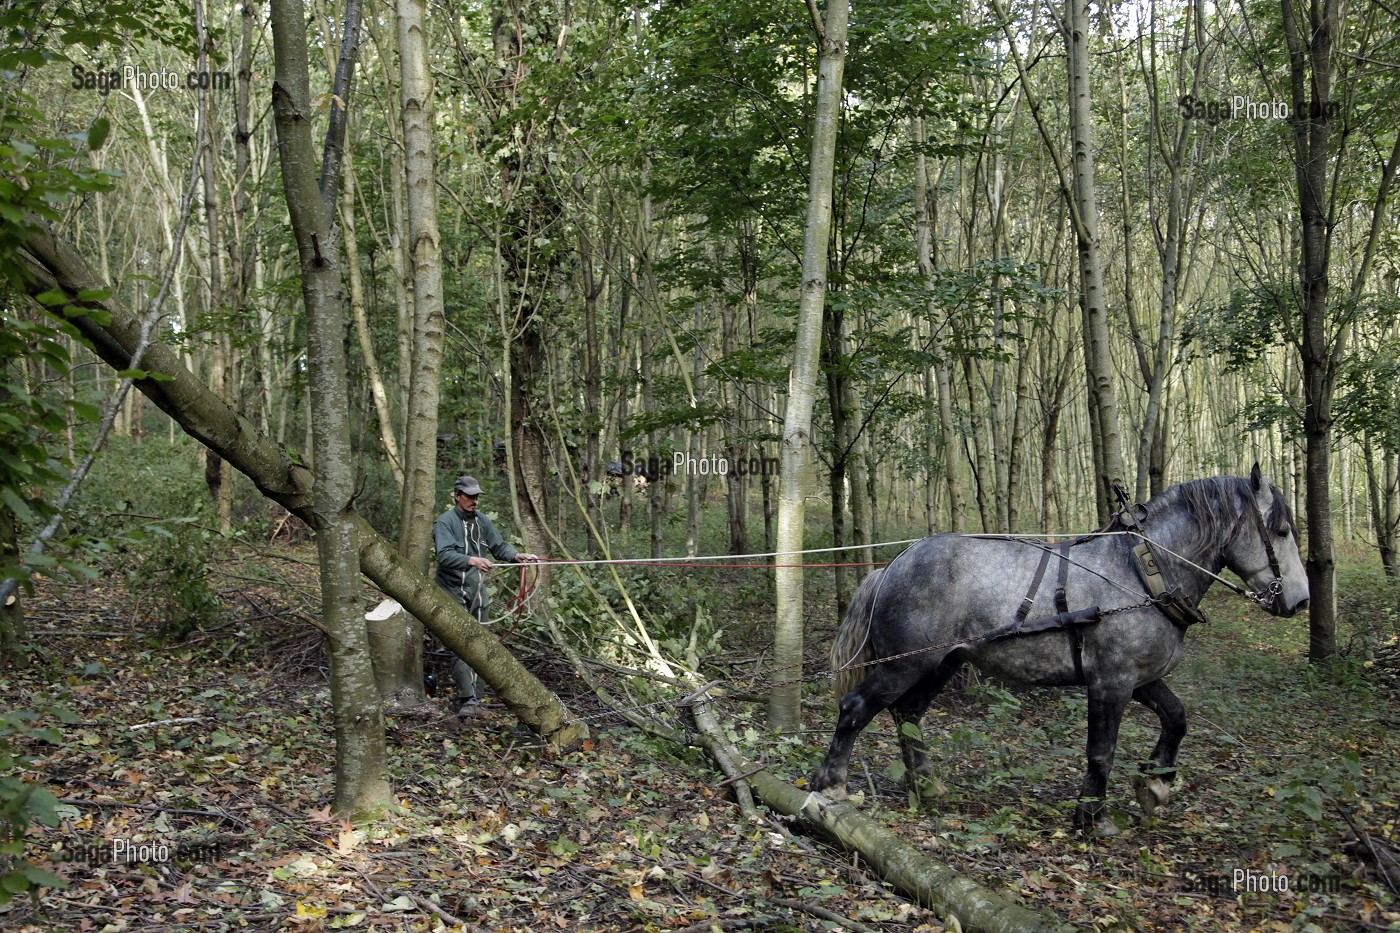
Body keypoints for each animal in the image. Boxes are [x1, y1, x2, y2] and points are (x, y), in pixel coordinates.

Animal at [810, 466, 1309, 836]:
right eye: (1283, 530)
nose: (1301, 601)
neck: (1145, 573)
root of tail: (891, 566)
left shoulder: (1139, 679)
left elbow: (1177, 718)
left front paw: (1155, 785)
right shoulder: (1111, 682)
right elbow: (1101, 750)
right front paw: (1092, 816)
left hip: (940, 664)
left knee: (908, 715)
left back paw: (927, 788)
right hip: (905, 664)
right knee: (855, 708)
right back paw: (830, 787)